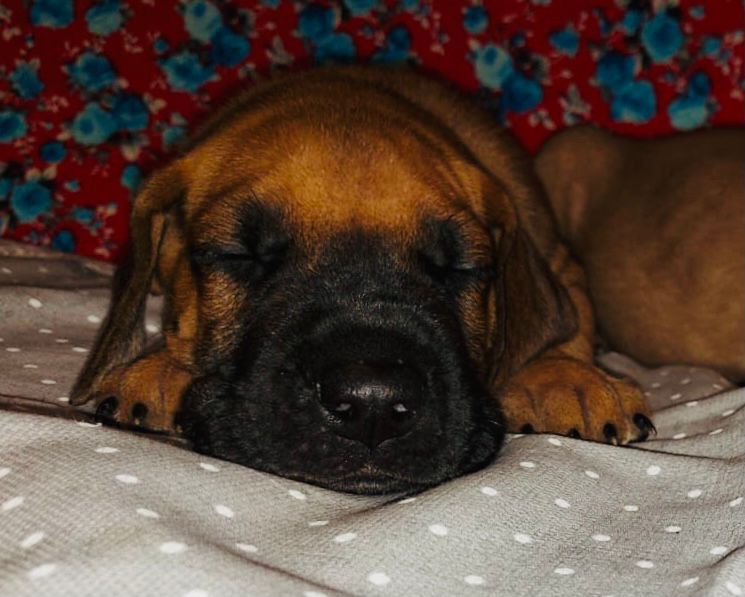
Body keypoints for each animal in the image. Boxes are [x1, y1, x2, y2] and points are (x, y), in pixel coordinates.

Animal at [71, 67, 654, 494]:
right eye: (239, 255)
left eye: (459, 268)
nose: (373, 405)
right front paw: (161, 367)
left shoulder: (559, 259)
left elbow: (565, 323)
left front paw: (565, 378)